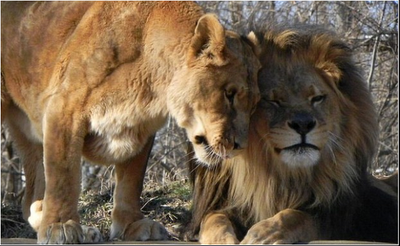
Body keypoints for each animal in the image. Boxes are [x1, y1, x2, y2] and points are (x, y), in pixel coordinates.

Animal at [0, 1, 260, 244]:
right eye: (229, 94)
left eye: (254, 103)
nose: (239, 146)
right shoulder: (64, 107)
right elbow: (63, 175)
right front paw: (60, 226)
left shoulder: (139, 127)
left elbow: (131, 181)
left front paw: (130, 226)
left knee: (30, 197)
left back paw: (51, 215)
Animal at [187, 25, 396, 244]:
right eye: (272, 100)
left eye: (317, 98)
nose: (303, 124)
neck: (277, 176)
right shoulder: (221, 204)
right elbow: (213, 220)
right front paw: (222, 239)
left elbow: (297, 215)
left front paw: (262, 234)